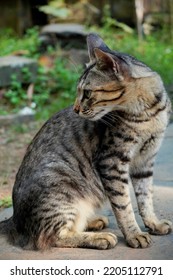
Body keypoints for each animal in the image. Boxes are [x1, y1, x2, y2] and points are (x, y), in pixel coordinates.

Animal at [0, 32, 172, 249]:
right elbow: (124, 205)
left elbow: (145, 198)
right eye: (78, 92)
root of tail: (14, 219)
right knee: (52, 237)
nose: (75, 109)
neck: (148, 113)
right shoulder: (112, 161)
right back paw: (99, 237)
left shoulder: (145, 161)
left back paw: (94, 222)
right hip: (63, 190)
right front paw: (134, 234)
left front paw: (154, 224)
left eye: (87, 93)